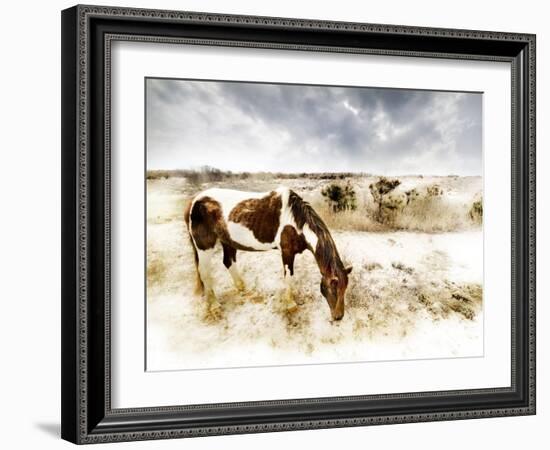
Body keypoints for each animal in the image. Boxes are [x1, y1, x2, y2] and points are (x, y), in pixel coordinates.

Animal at [183, 186, 352, 320]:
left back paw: (242, 288)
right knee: (205, 273)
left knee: (228, 262)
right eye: (333, 288)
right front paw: (290, 304)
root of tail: (194, 201)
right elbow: (289, 277)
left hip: (227, 241)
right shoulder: (287, 252)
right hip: (205, 246)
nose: (339, 317)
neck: (295, 221)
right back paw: (215, 306)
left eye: (345, 289)